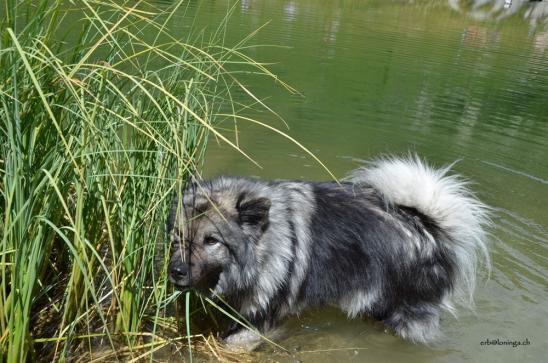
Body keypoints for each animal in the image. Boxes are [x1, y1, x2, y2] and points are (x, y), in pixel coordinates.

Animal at [167, 158, 488, 352]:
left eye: (211, 241)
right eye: (178, 237)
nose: (176, 271)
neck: (266, 243)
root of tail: (427, 229)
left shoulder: (267, 317)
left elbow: (234, 342)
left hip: (405, 314)